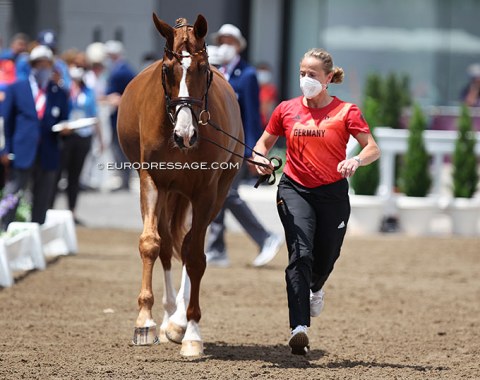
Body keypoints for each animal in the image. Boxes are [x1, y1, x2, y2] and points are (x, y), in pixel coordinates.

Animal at [116, 12, 244, 356]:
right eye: (166, 69)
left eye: (203, 68)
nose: (185, 135)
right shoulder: (150, 180)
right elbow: (151, 243)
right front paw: (144, 322)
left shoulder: (206, 192)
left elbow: (196, 257)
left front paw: (192, 333)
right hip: (169, 194)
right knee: (167, 246)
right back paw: (168, 317)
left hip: (214, 195)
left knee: (186, 247)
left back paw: (178, 322)